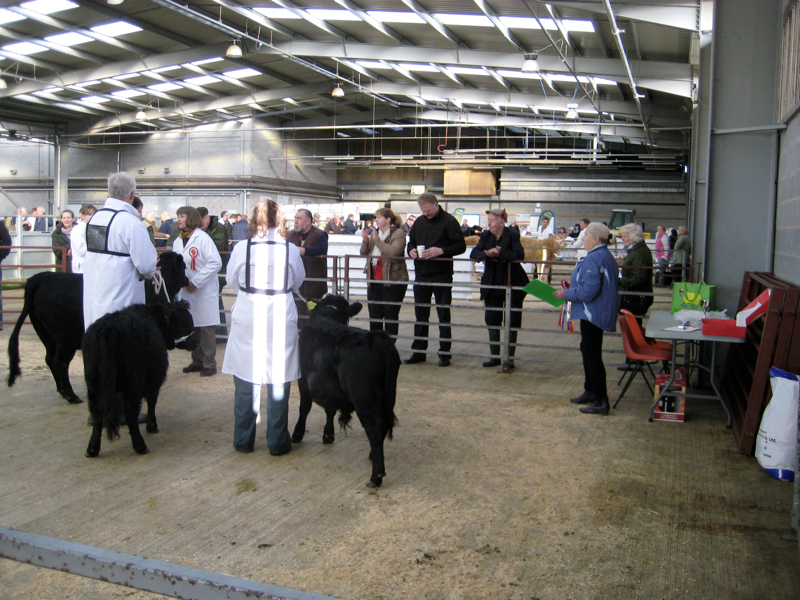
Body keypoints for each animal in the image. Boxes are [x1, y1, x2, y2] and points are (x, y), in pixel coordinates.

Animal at [7, 251, 191, 406]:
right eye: (183, 267)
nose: (188, 280)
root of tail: (41, 278)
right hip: (65, 339)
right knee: (59, 362)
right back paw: (71, 396)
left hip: (46, 335)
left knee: (49, 359)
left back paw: (63, 391)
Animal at [85, 302, 195, 458]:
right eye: (181, 324)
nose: (196, 342)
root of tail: (109, 326)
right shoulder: (155, 379)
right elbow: (152, 401)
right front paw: (151, 426)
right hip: (133, 383)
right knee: (131, 412)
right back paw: (140, 446)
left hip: (94, 384)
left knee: (97, 413)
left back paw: (92, 448)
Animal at [290, 296, 400, 488]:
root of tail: (378, 338)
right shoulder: (329, 387)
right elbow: (329, 409)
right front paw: (328, 434)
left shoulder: (303, 381)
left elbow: (304, 407)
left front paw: (297, 434)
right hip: (389, 396)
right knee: (385, 424)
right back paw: (373, 455)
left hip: (364, 398)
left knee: (375, 427)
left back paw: (376, 476)